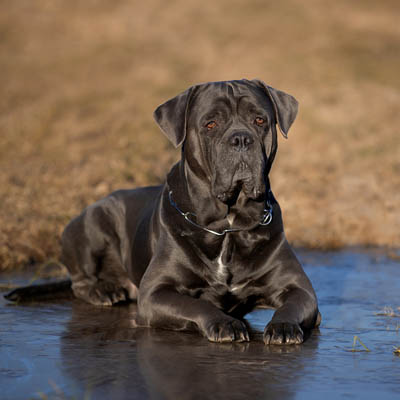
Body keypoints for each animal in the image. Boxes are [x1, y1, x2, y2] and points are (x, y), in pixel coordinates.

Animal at [5, 80, 318, 344]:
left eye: (260, 120)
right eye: (211, 124)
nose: (241, 139)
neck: (227, 225)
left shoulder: (301, 290)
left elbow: (292, 305)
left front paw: (284, 327)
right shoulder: (156, 293)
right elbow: (196, 305)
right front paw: (224, 323)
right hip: (91, 221)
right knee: (79, 282)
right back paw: (103, 290)